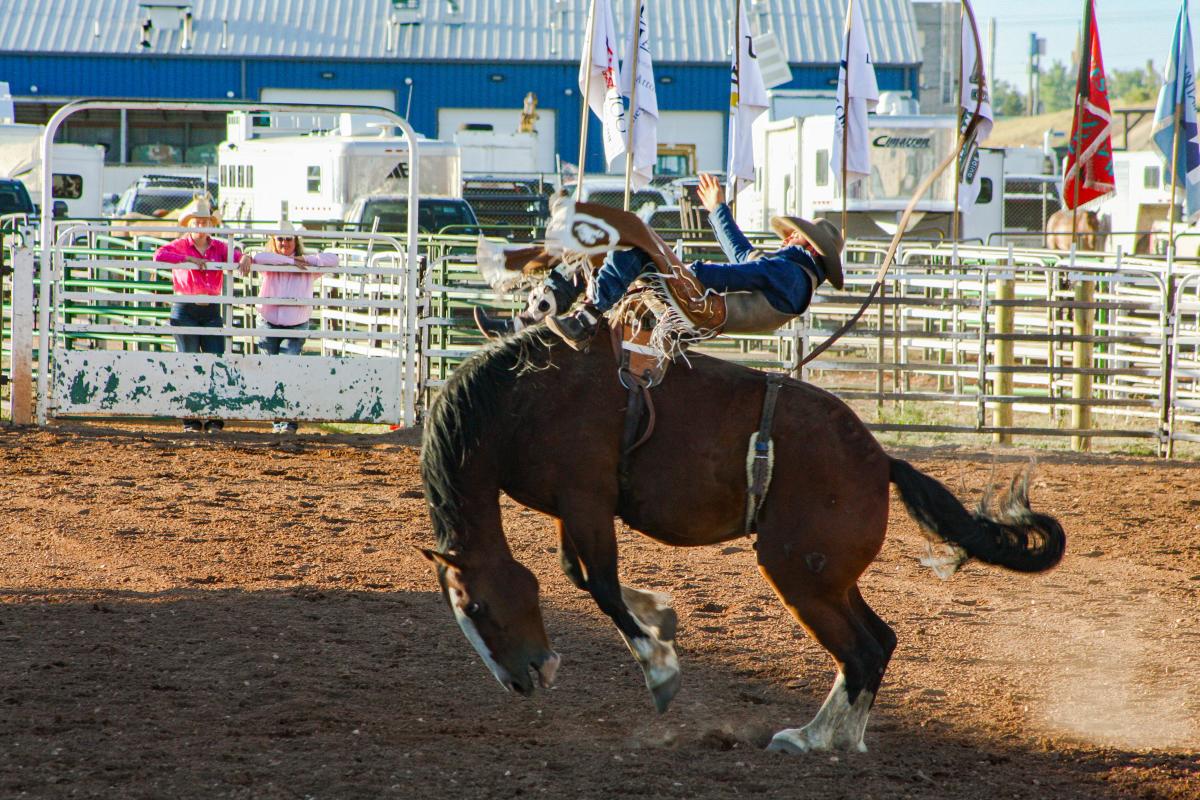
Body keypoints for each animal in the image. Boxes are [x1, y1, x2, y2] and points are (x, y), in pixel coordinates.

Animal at [417, 323, 1065, 753]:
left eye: (476, 606)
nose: (521, 681)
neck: (523, 401)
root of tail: (881, 460)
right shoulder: (572, 509)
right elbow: (579, 575)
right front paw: (660, 614)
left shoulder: (585, 500)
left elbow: (599, 584)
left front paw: (660, 669)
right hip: (828, 578)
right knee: (879, 642)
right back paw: (839, 738)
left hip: (798, 573)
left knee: (860, 650)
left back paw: (810, 740)